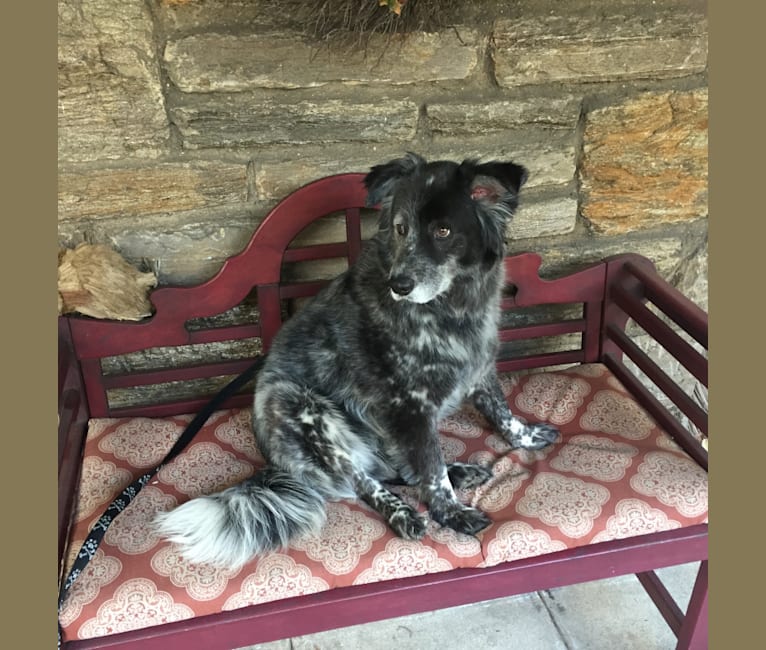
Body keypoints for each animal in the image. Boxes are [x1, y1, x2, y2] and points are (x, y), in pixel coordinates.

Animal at [156, 153, 560, 568]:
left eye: (444, 231)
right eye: (401, 228)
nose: (400, 285)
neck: (451, 307)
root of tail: (276, 466)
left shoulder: (478, 367)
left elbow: (501, 412)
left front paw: (525, 437)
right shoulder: (407, 406)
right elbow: (430, 470)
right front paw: (451, 514)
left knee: (393, 468)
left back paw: (459, 472)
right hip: (297, 406)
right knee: (365, 479)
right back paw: (403, 512)